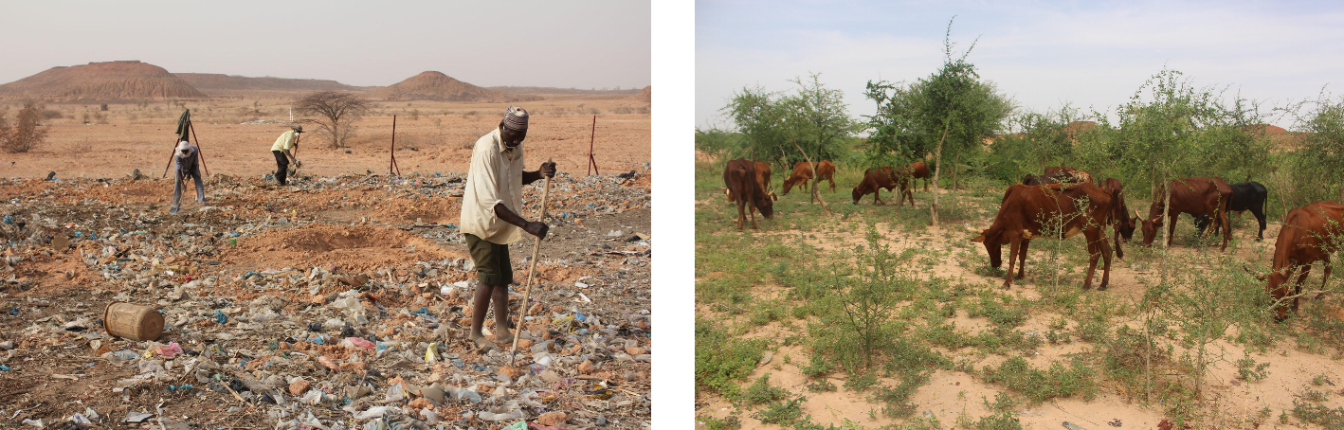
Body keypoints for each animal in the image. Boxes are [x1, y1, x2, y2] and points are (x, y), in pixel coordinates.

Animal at [973, 182, 1118, 290]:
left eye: (987, 245)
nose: (995, 264)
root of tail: (1102, 190)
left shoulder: (1015, 234)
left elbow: (1012, 258)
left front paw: (1007, 283)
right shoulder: (1026, 235)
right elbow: (1022, 256)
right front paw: (1019, 276)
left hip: (1090, 230)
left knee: (1095, 255)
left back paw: (1086, 285)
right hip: (1100, 230)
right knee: (1107, 252)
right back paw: (1103, 284)